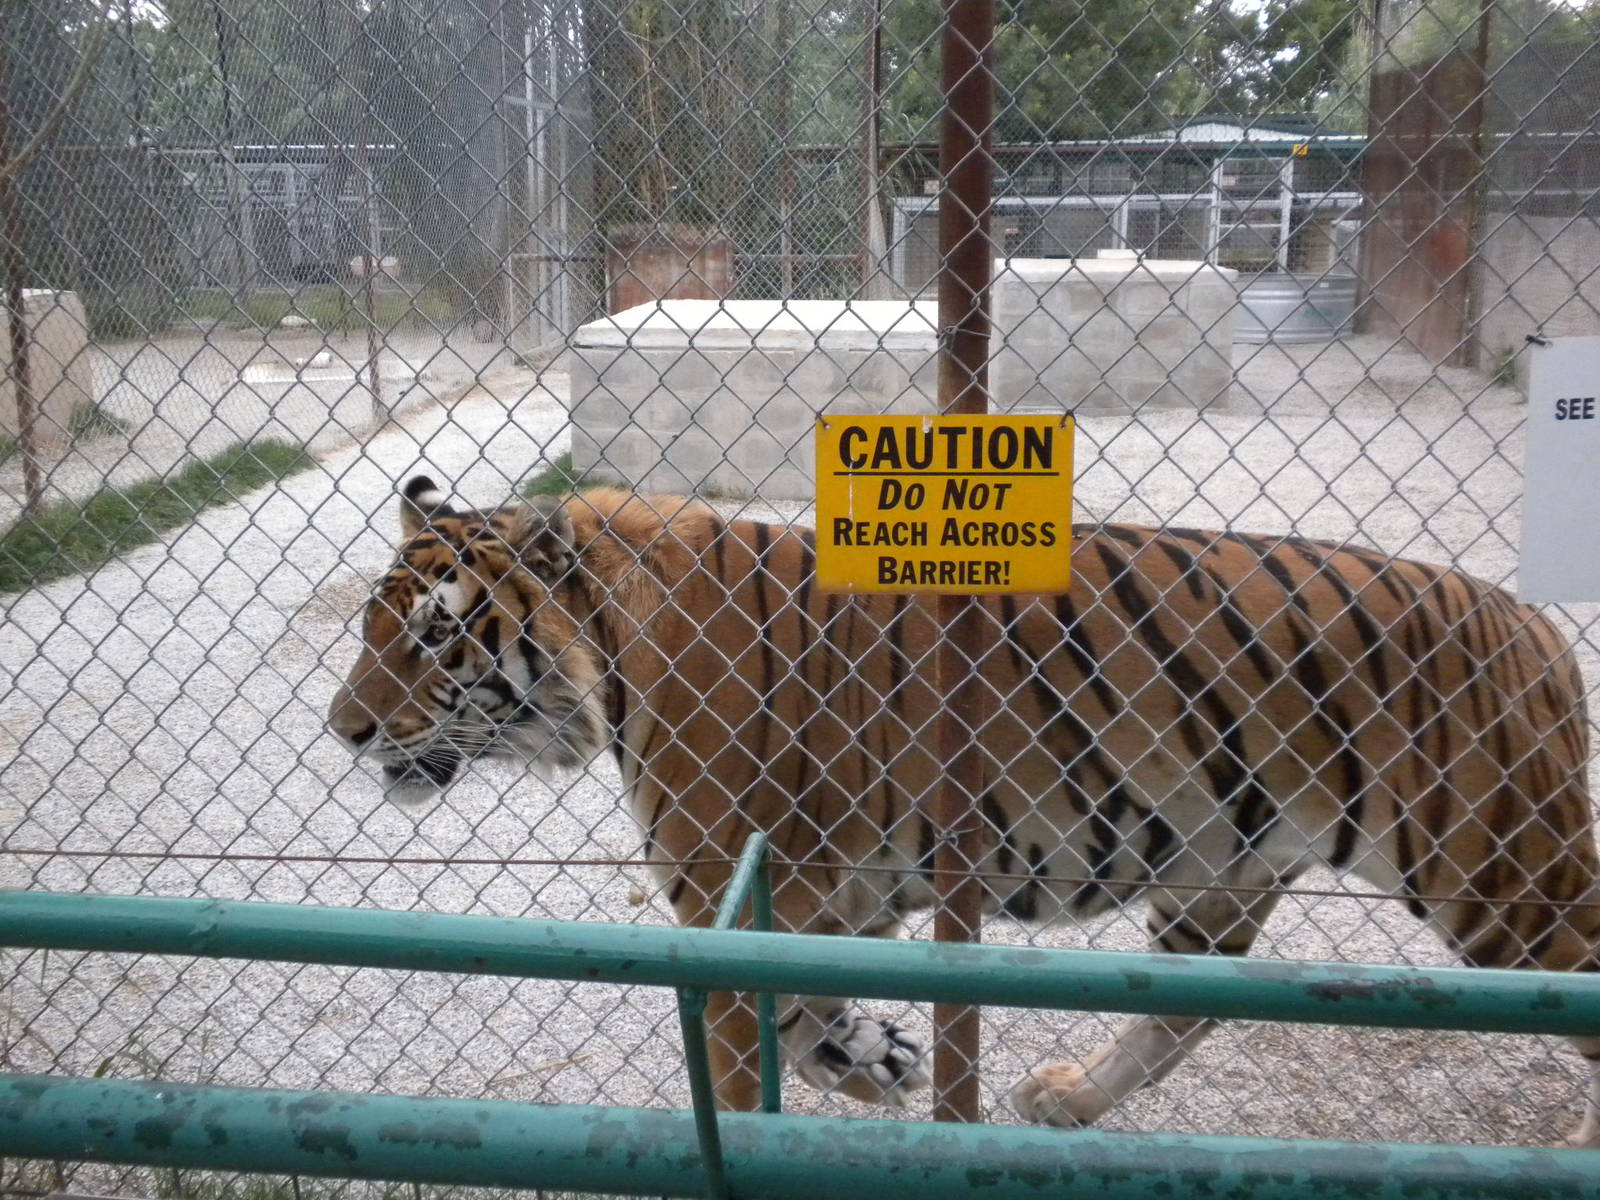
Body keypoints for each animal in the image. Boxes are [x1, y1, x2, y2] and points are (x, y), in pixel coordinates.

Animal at [327, 476, 1600, 1146]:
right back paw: (1064, 1101)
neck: (607, 660)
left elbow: (742, 1082)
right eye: (369, 626)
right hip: (1220, 867)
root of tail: (1534, 626)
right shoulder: (821, 902)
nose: (345, 732)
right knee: (1183, 1011)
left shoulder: (736, 912)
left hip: (1498, 876)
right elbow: (810, 1032)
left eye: (433, 637)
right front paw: (886, 1059)